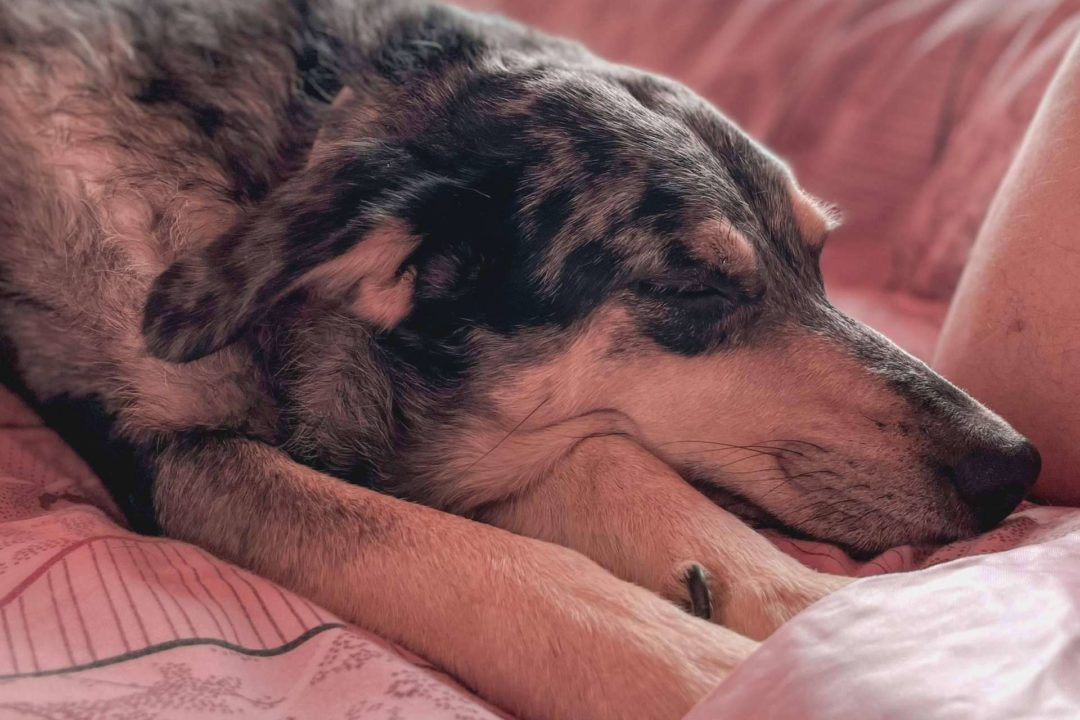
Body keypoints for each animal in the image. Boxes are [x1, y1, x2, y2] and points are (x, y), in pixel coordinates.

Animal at [0, 0, 1041, 716]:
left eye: (821, 261)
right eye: (696, 289)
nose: (1016, 466)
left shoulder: (531, 429)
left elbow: (616, 462)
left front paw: (835, 620)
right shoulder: (183, 459)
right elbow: (471, 561)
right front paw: (726, 673)